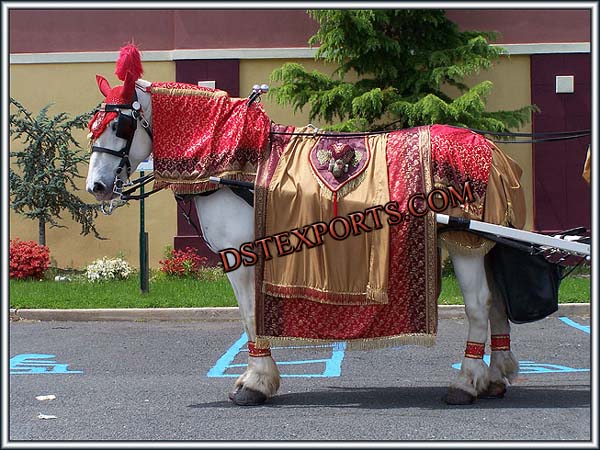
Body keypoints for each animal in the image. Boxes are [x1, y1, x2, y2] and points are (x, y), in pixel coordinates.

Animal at [85, 73, 520, 404]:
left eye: (120, 126)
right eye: (93, 127)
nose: (97, 187)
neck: (233, 160)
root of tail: (487, 146)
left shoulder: (241, 256)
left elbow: (250, 315)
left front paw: (256, 382)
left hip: (464, 244)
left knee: (479, 305)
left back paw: (467, 381)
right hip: (483, 245)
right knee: (498, 299)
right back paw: (496, 375)